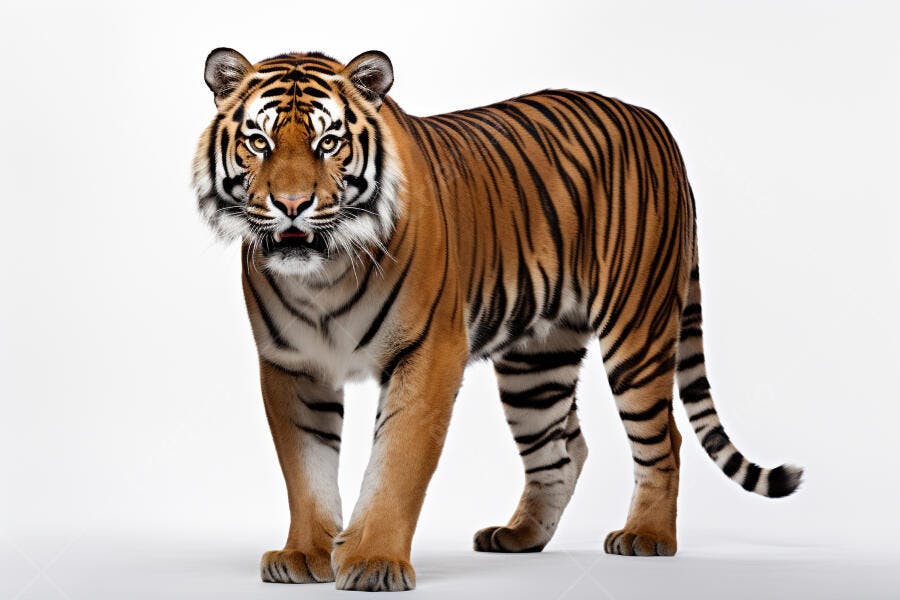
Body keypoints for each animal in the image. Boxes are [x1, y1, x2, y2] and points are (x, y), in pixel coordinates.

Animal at [193, 47, 803, 592]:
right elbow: (306, 470)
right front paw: (306, 553)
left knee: (664, 438)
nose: (291, 205)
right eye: (259, 141)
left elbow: (396, 465)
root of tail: (655, 123)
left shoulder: (428, 355)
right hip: (537, 361)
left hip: (638, 329)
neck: (324, 274)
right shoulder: (292, 366)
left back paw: (647, 536)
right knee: (563, 448)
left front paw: (372, 561)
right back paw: (520, 536)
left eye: (329, 142)